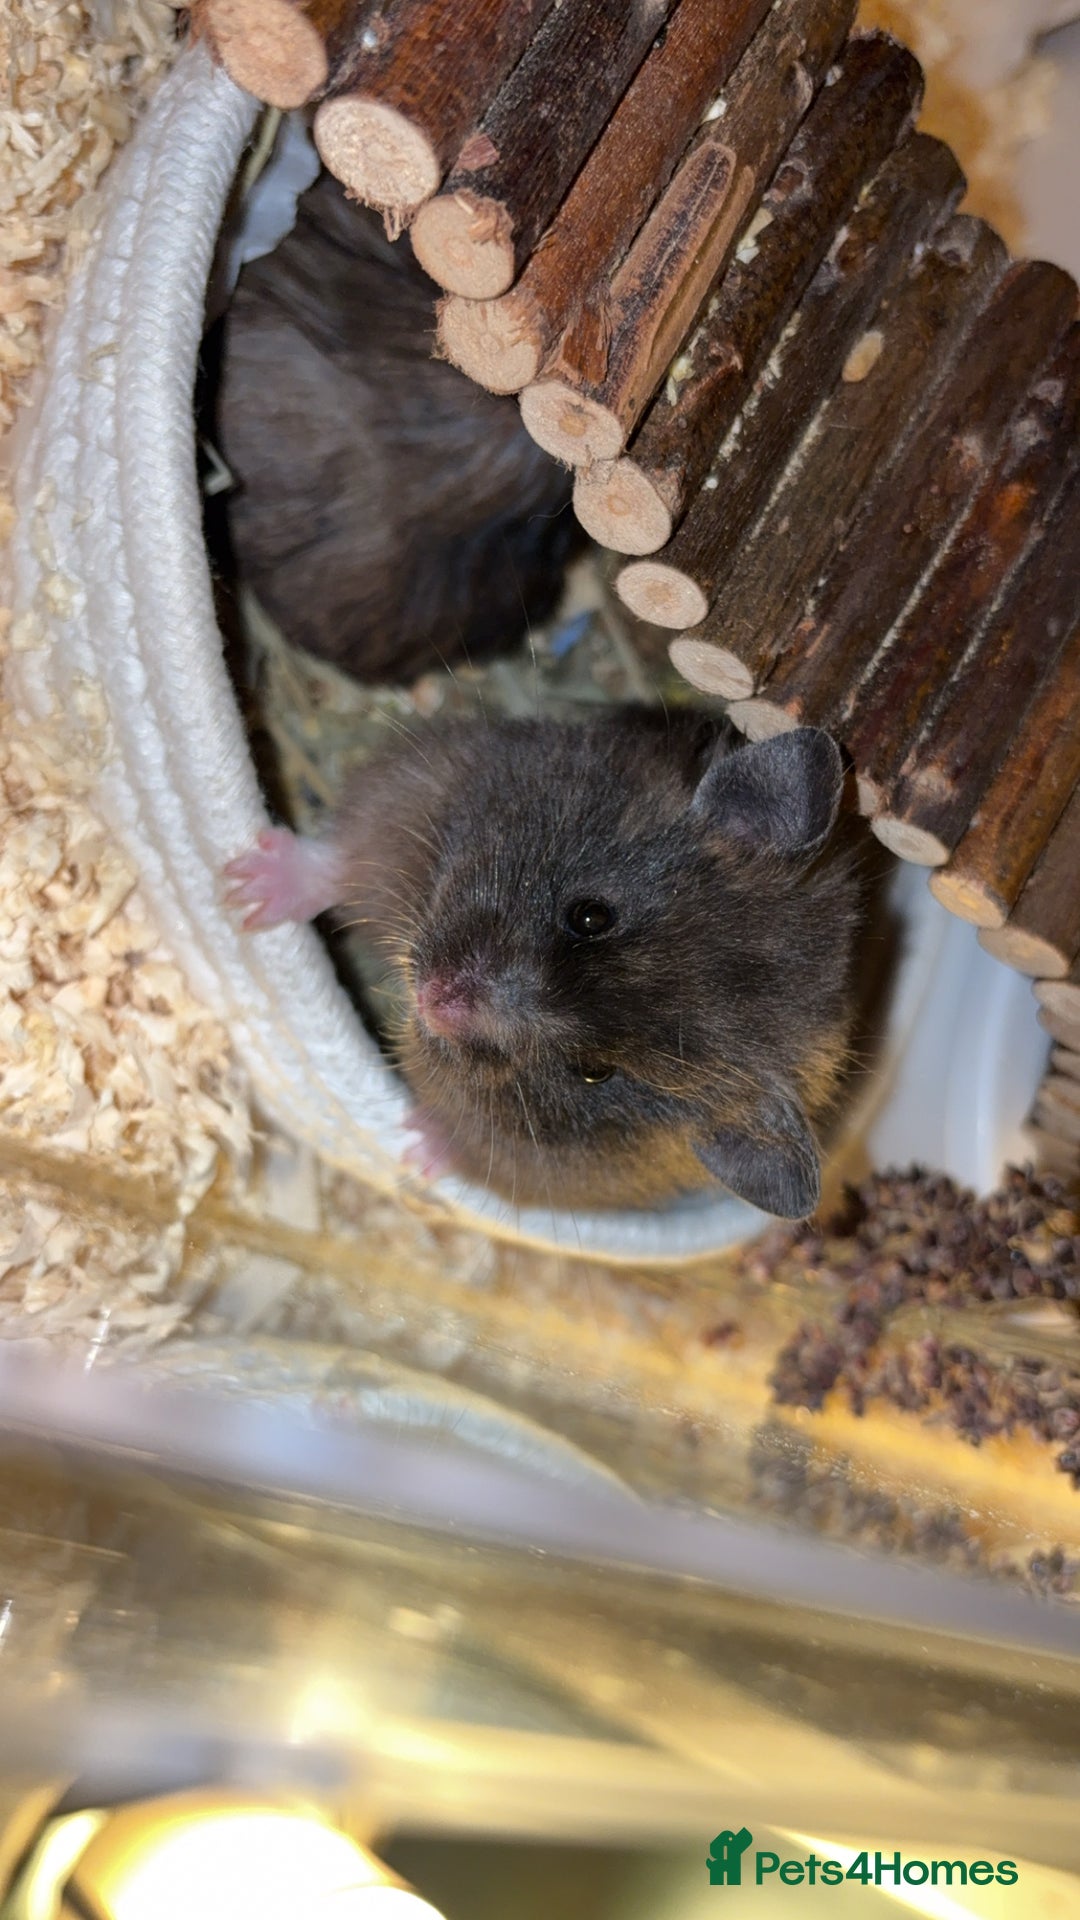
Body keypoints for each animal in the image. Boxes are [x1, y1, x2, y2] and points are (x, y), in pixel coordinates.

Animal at [224, 708, 860, 1219]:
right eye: (591, 916)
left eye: (596, 1071)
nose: (435, 998)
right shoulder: (436, 787)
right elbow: (345, 861)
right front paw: (246, 891)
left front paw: (416, 1148)